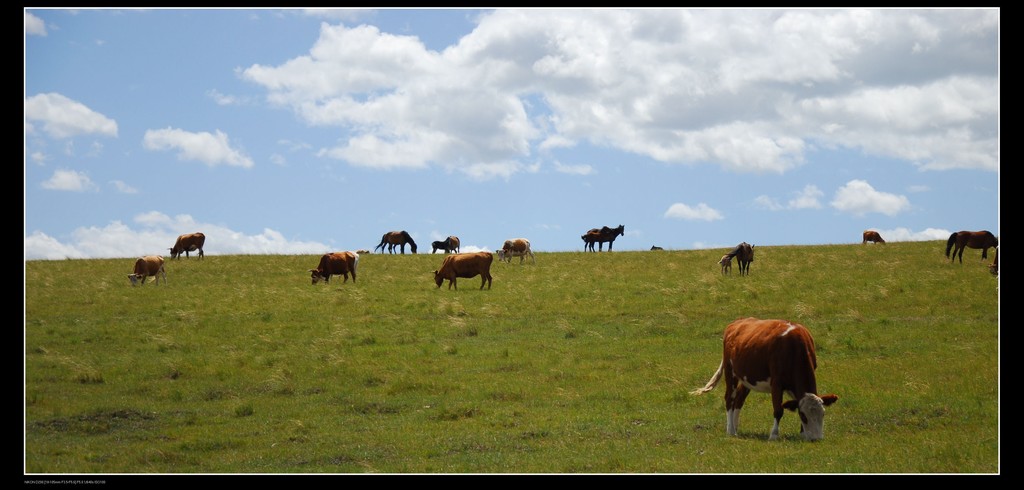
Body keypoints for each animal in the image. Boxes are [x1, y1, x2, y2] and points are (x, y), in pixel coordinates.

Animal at [688, 317, 839, 443]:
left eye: (823, 413)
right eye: (803, 415)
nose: (816, 438)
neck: (795, 347)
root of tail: (736, 322)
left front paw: (802, 434)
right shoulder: (776, 383)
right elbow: (778, 410)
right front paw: (774, 435)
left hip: (746, 377)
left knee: (739, 399)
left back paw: (736, 427)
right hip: (730, 371)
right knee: (729, 398)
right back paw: (730, 430)